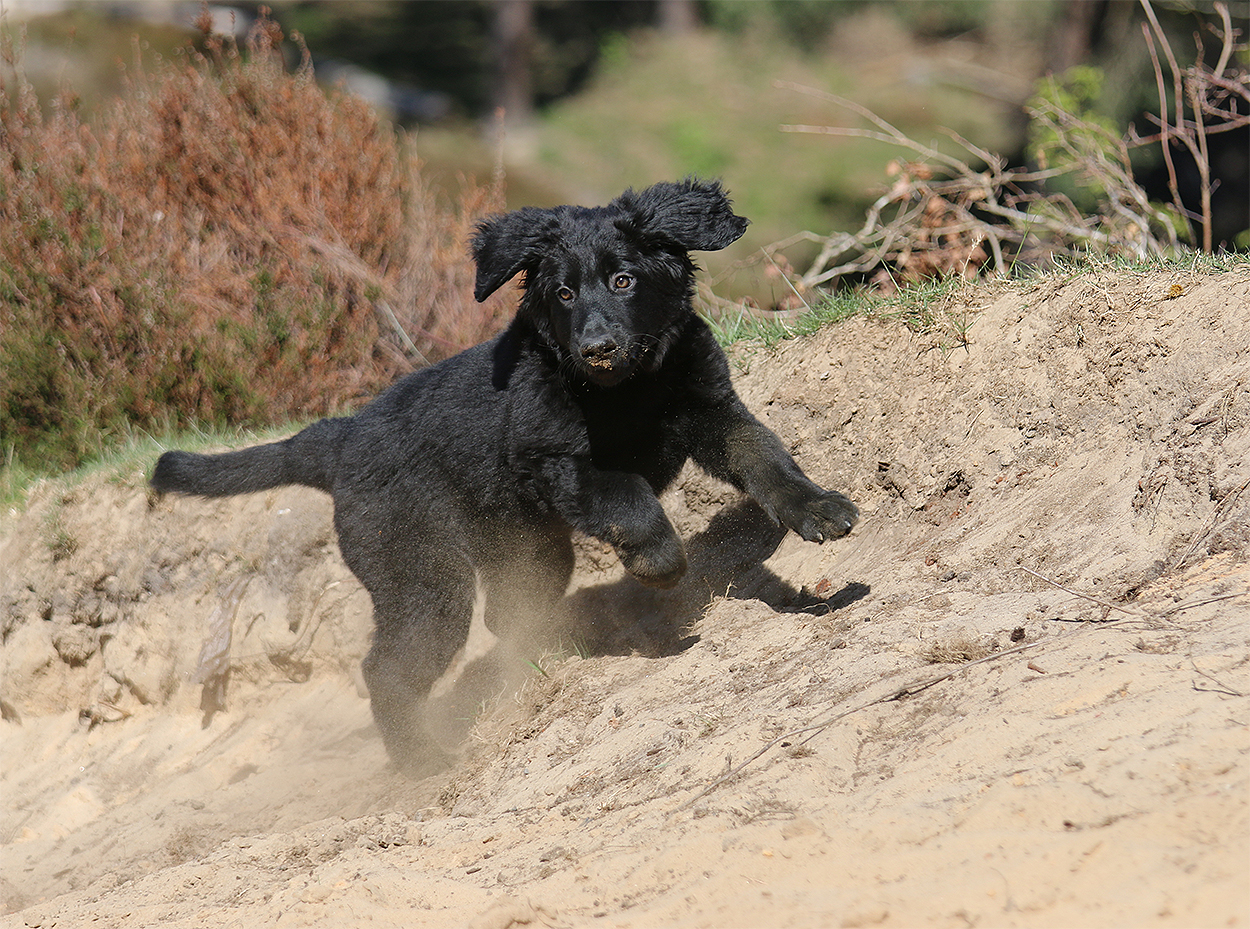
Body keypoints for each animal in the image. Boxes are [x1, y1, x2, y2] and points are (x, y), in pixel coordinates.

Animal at [151, 178, 859, 772]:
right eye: (564, 294)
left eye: (624, 280)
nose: (596, 348)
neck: (627, 389)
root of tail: (340, 437)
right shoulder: (553, 460)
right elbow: (630, 496)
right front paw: (659, 563)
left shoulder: (711, 409)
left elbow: (766, 459)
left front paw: (818, 509)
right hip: (420, 571)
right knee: (388, 671)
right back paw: (422, 761)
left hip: (523, 546)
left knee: (505, 616)